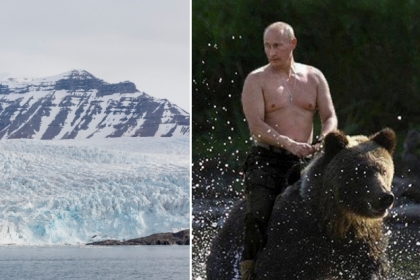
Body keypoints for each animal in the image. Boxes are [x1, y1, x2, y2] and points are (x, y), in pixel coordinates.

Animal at [207, 129, 398, 280]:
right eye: (361, 172)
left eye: (383, 170)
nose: (385, 197)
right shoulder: (292, 237)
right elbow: (276, 268)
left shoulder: (362, 241)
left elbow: (372, 267)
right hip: (229, 249)